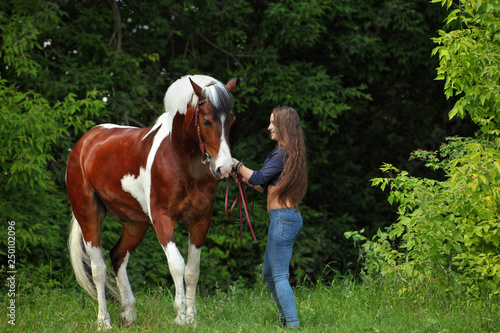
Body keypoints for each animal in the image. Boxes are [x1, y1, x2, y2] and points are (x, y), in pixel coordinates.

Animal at [66, 74, 236, 328]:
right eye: (206, 121)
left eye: (231, 120)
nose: (224, 168)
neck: (181, 161)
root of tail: (85, 142)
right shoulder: (162, 218)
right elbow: (177, 264)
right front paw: (181, 316)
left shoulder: (200, 221)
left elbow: (192, 270)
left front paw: (192, 318)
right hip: (88, 215)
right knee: (98, 269)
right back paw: (104, 321)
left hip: (135, 225)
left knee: (117, 256)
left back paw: (128, 313)